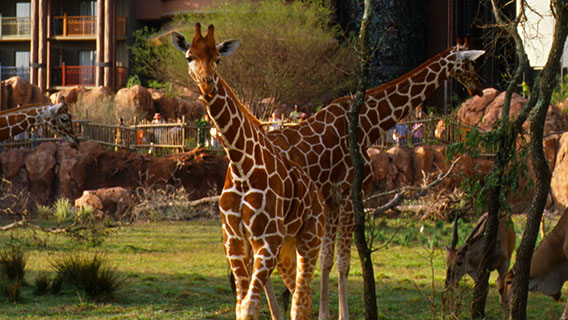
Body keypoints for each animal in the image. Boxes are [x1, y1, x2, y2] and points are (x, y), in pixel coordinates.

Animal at [171, 23, 326, 320]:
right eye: (189, 56)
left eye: (218, 58)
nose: (208, 83)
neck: (242, 165)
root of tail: (318, 195)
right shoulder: (235, 242)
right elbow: (241, 305)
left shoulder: (267, 241)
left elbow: (250, 306)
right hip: (287, 248)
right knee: (303, 296)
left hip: (310, 239)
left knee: (300, 300)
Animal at [266, 40, 484, 318]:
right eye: (470, 63)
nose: (478, 87)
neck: (368, 123)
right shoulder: (348, 194)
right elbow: (343, 263)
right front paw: (343, 315)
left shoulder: (332, 200)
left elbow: (327, 260)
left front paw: (325, 314)